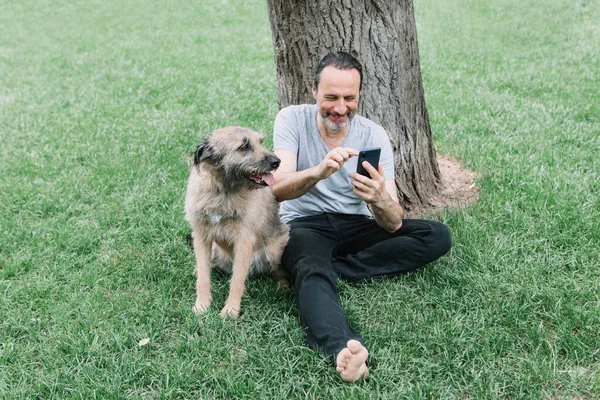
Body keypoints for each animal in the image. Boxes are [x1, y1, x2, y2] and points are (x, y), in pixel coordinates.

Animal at [185, 126, 290, 318]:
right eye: (244, 146)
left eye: (260, 142)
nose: (276, 162)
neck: (223, 191)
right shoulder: (201, 237)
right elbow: (203, 276)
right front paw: (202, 305)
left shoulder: (243, 240)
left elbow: (237, 279)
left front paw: (231, 310)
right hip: (215, 249)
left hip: (274, 251)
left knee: (279, 271)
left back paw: (283, 286)